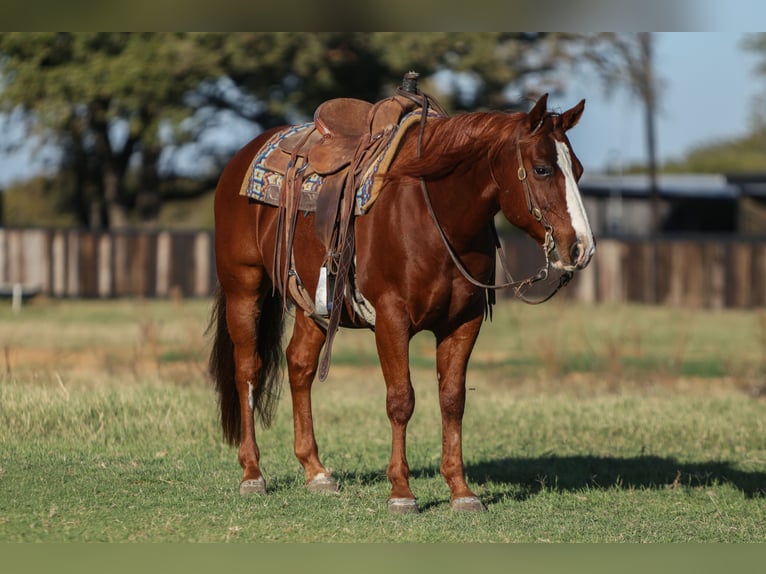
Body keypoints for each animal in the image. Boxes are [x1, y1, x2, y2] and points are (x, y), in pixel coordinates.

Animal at [208, 90, 595, 513]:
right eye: (541, 170)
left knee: (300, 366)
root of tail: (241, 157)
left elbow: (452, 400)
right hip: (244, 287)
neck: (434, 212)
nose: (581, 248)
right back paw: (252, 474)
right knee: (248, 370)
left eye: (577, 170)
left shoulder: (464, 322)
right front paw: (401, 492)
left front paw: (461, 490)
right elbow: (401, 400)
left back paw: (316, 472)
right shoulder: (392, 319)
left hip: (312, 303)